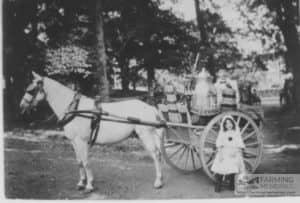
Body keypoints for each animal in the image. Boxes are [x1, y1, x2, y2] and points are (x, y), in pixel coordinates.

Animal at [19, 72, 164, 193]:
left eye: (31, 90)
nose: (21, 106)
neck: (76, 109)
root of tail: (150, 107)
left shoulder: (82, 141)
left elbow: (85, 161)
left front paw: (89, 185)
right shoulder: (74, 142)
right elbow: (79, 161)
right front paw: (81, 183)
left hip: (146, 136)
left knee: (156, 155)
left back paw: (158, 182)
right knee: (157, 154)